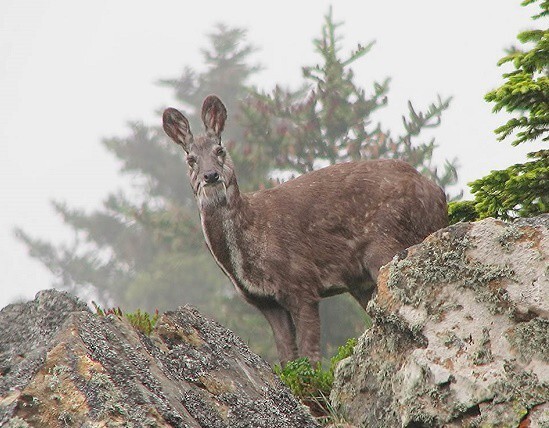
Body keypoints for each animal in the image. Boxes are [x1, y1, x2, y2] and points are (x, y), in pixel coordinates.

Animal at [161, 94, 448, 364]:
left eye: (220, 149)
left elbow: (310, 354)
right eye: (190, 159)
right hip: (361, 280)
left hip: (387, 242)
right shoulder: (265, 302)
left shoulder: (301, 282)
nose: (211, 176)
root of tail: (438, 194)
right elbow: (287, 356)